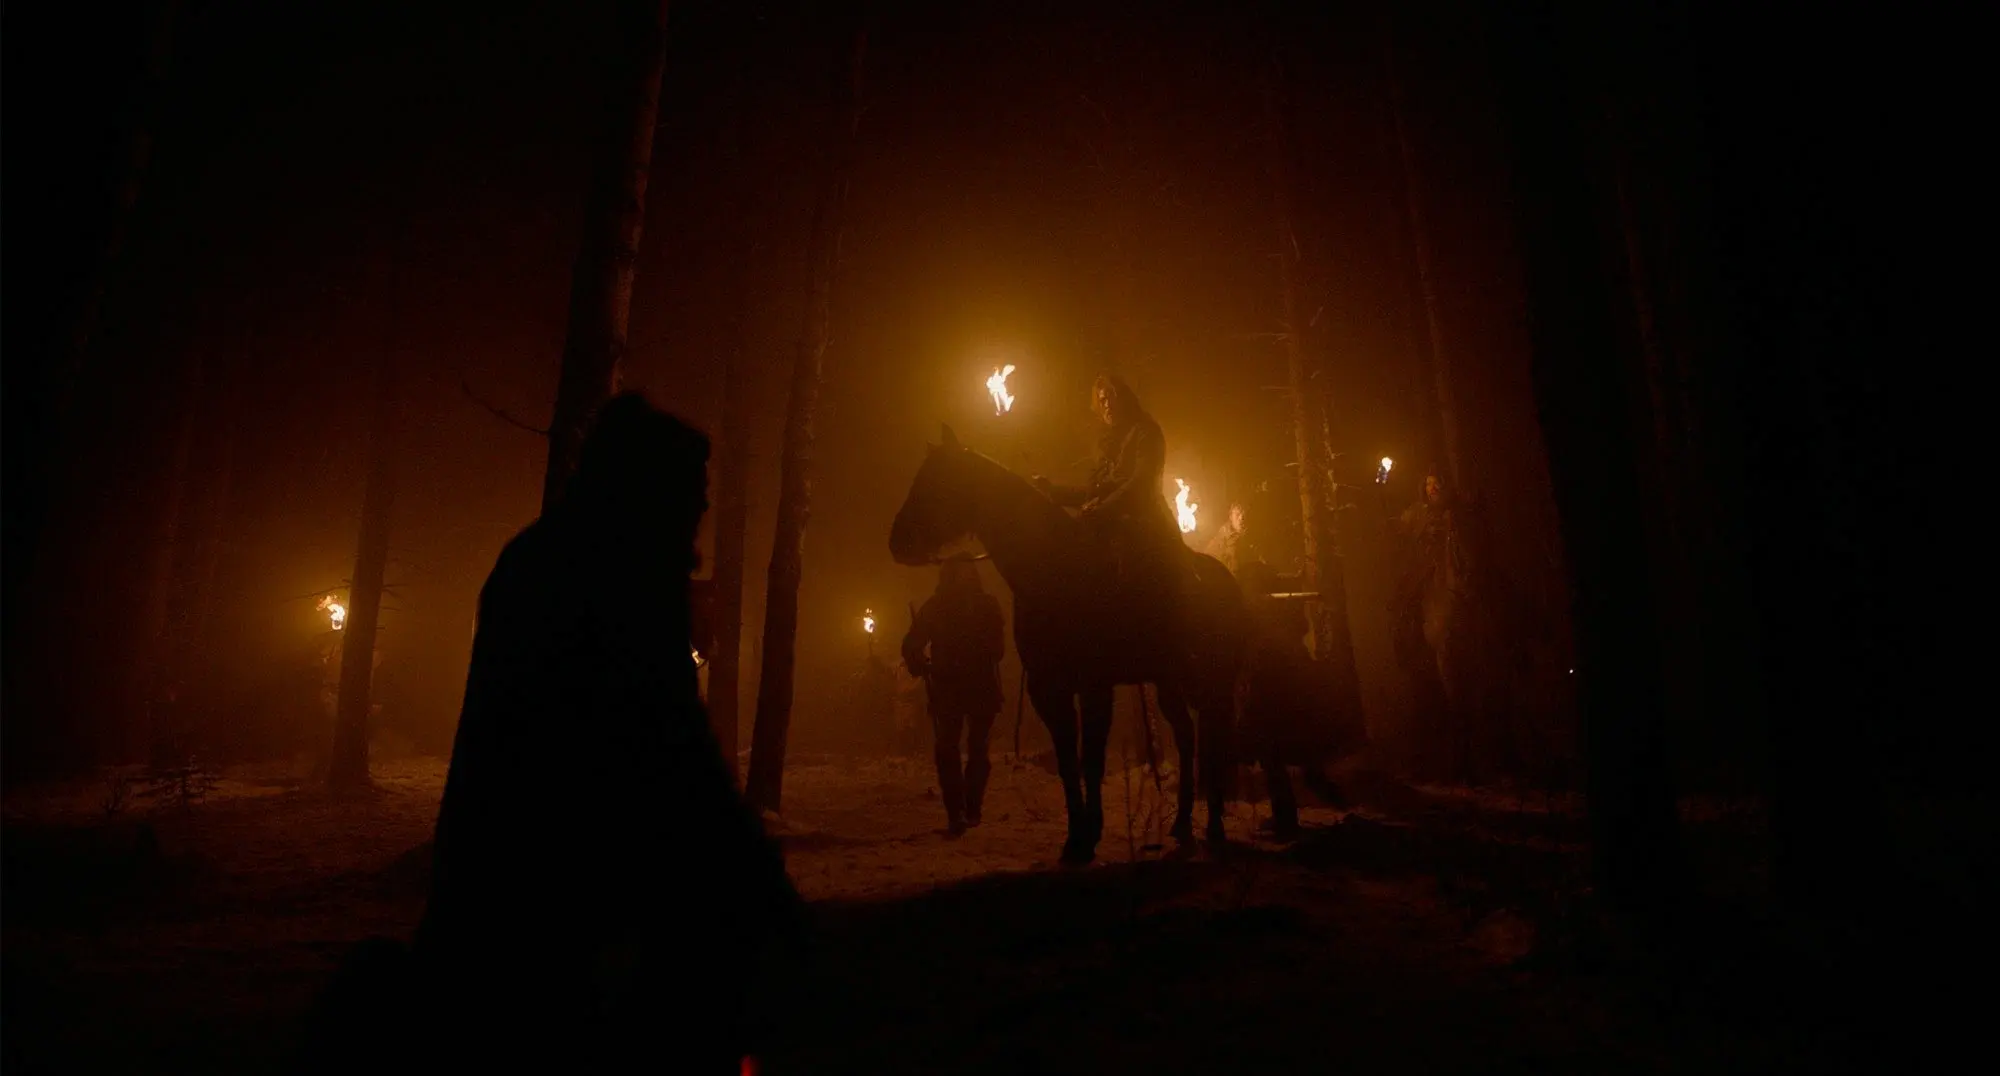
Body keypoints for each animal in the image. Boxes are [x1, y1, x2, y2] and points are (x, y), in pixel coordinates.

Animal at [889, 425, 1246, 865]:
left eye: (935, 480)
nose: (897, 540)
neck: (1057, 570)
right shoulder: (1048, 688)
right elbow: (1066, 761)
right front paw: (1076, 837)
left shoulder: (1094, 687)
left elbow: (1090, 760)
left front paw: (1088, 837)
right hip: (1169, 684)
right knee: (1187, 736)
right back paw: (1182, 825)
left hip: (1213, 682)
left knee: (1216, 740)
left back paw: (1213, 828)